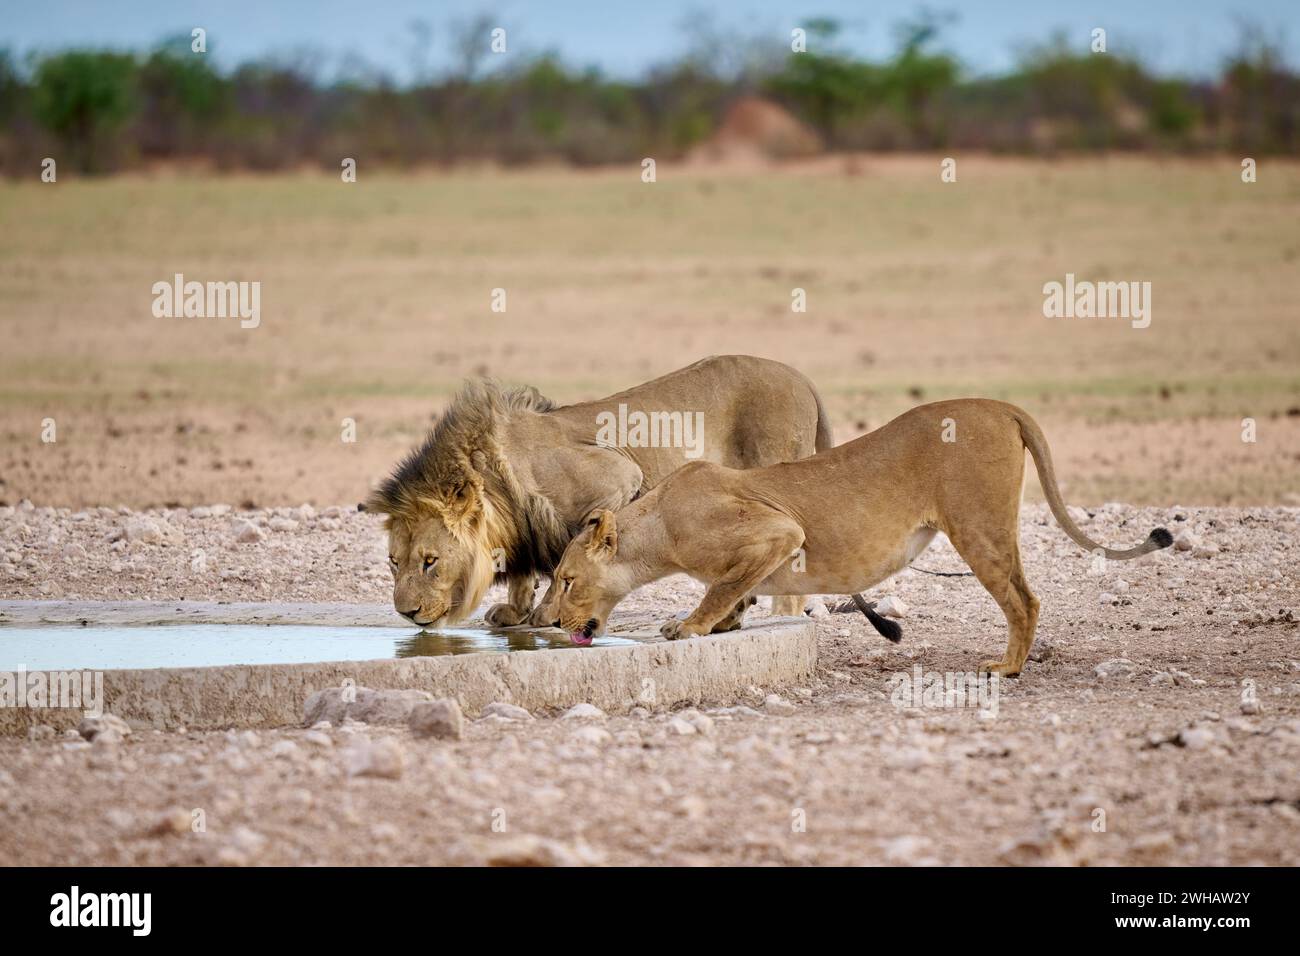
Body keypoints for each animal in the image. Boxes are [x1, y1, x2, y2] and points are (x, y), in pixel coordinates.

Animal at [364, 356, 832, 632]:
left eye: (430, 562)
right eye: (393, 561)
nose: (405, 613)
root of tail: (802, 376)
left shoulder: (618, 474)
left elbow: (567, 557)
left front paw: (544, 615)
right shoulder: (524, 525)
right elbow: (523, 571)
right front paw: (515, 612)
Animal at [538, 400, 1180, 676]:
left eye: (566, 580)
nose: (547, 622)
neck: (658, 526)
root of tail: (1003, 406)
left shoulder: (779, 530)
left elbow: (718, 588)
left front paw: (689, 627)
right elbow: (733, 591)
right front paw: (721, 624)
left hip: (978, 524)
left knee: (1024, 599)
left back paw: (1006, 668)